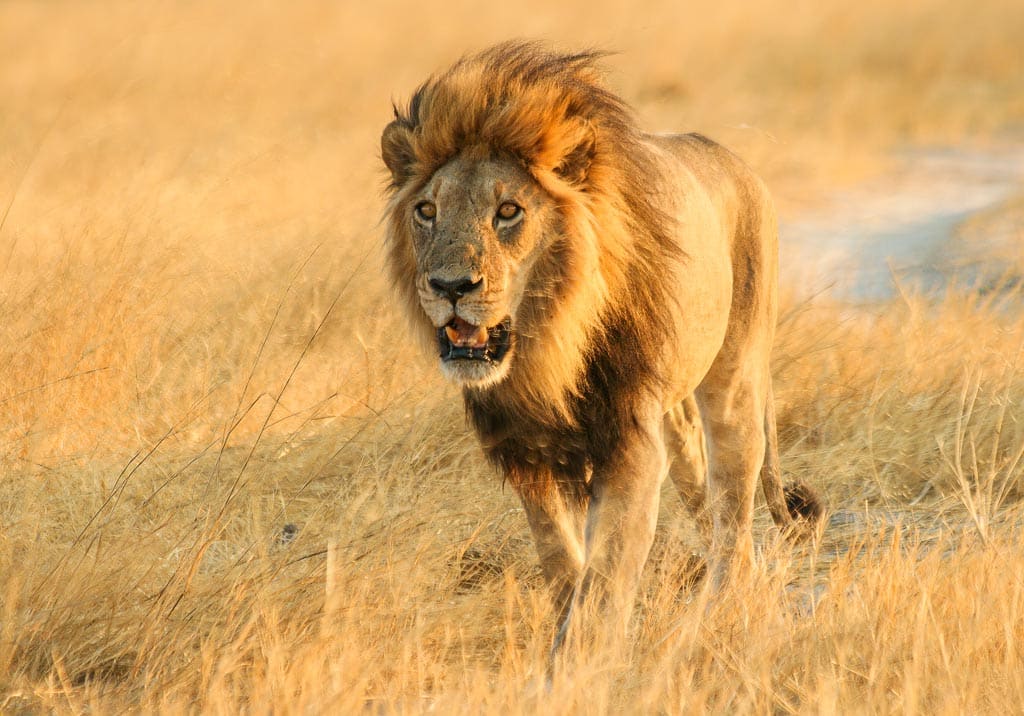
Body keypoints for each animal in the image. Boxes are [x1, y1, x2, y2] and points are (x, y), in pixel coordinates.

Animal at [382, 40, 823, 655]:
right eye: (427, 211)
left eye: (509, 211)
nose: (449, 287)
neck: (545, 350)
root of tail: (731, 157)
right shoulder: (525, 451)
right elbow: (560, 560)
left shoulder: (629, 443)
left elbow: (607, 573)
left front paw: (581, 659)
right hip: (674, 414)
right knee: (706, 498)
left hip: (735, 379)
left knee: (735, 519)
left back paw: (712, 621)